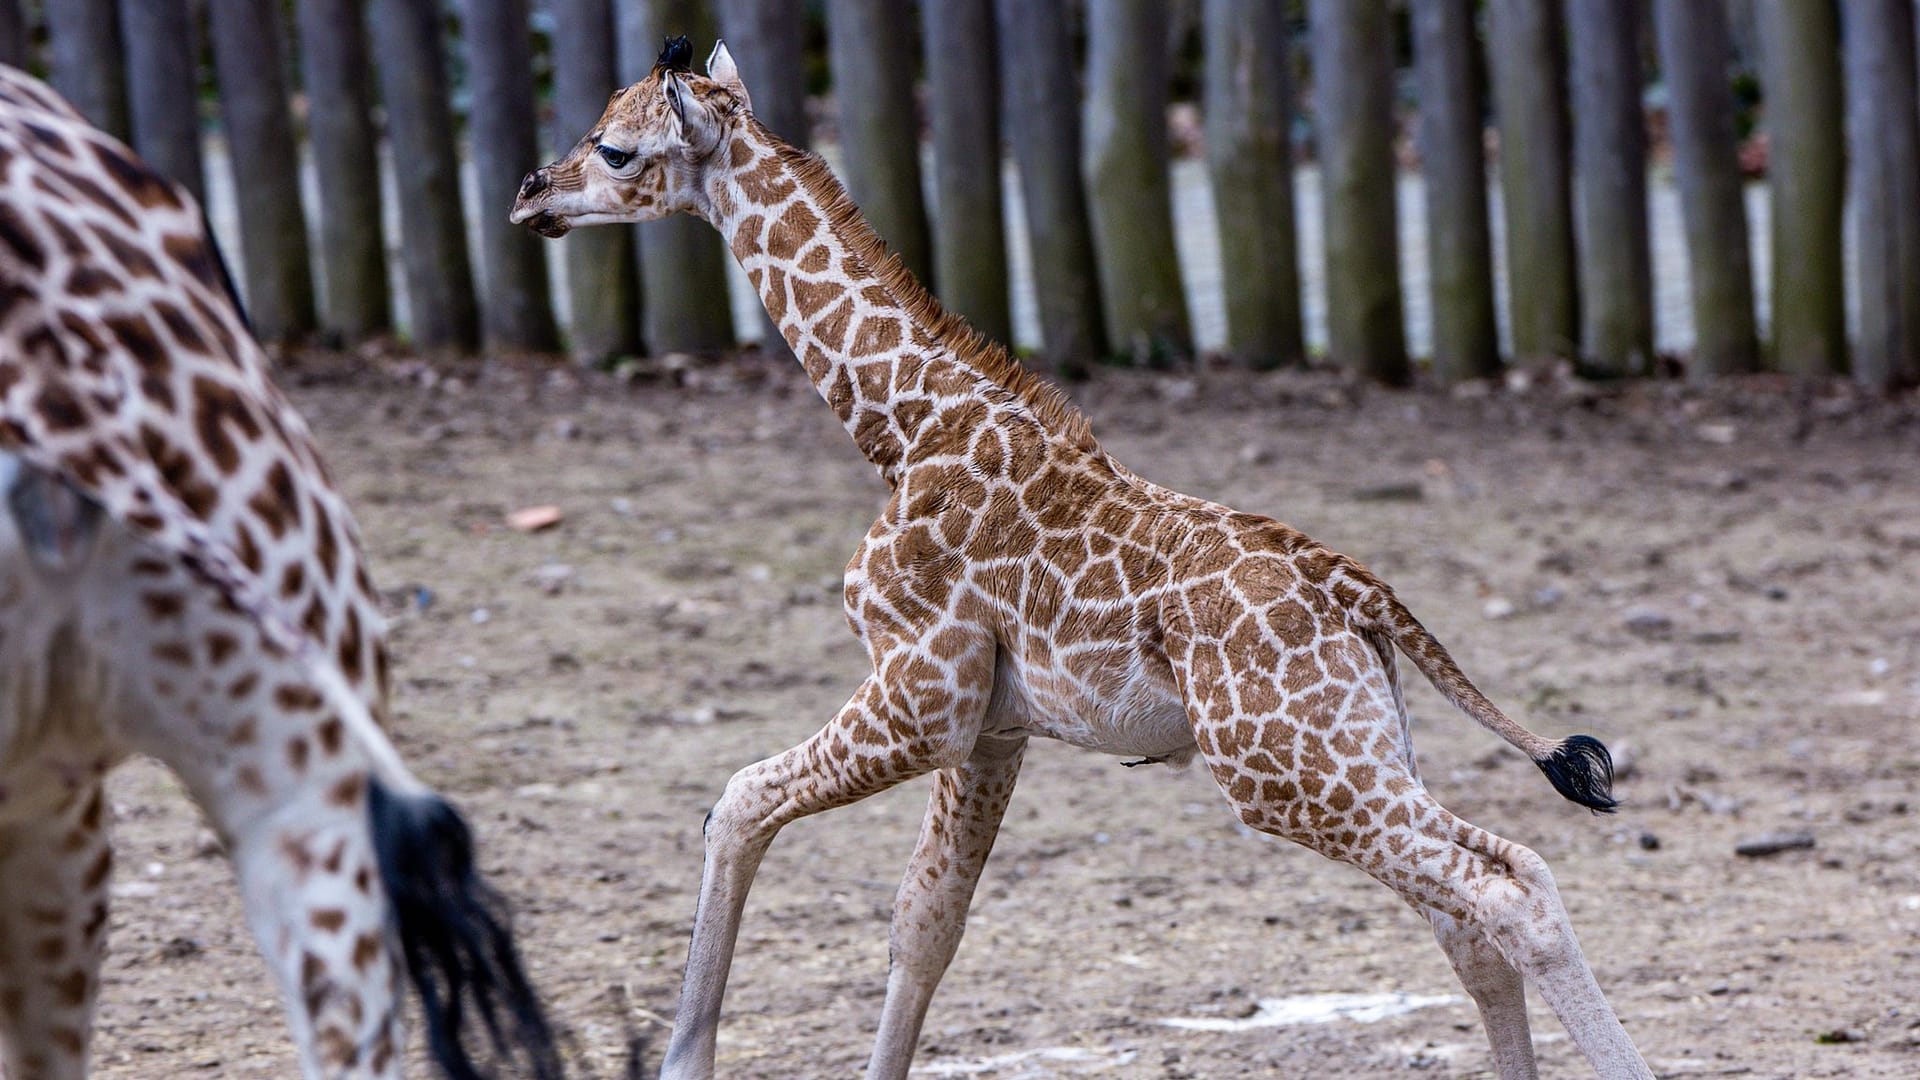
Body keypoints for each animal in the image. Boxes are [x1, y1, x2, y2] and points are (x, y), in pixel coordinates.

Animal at [518, 35, 1658, 1076]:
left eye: (615, 148)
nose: (534, 194)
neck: (903, 427)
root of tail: (1358, 591)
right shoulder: (993, 728)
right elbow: (925, 927)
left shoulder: (922, 692)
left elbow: (739, 803)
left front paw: (684, 1058)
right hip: (1358, 748)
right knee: (1492, 897)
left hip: (1282, 768)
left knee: (1499, 893)